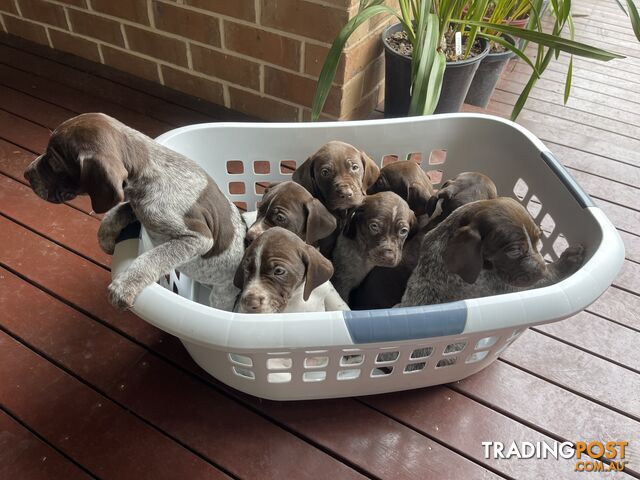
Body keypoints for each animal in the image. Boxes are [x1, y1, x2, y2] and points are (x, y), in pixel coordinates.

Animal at [23, 112, 244, 312]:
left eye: (54, 161)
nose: (26, 173)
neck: (148, 169)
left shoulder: (199, 237)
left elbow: (152, 258)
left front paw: (124, 287)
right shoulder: (136, 205)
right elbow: (116, 211)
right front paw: (105, 237)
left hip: (221, 295)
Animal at [400, 196, 584, 306]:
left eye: (538, 238)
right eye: (514, 251)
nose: (541, 271)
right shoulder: (505, 287)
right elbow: (548, 278)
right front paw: (568, 260)